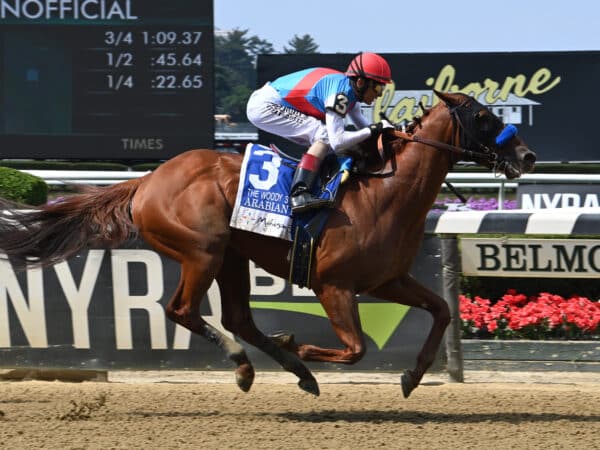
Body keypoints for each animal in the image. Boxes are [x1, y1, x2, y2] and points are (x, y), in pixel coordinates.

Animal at [0, 91, 536, 398]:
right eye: (484, 116)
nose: (528, 156)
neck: (383, 193)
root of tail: (149, 180)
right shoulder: (333, 285)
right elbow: (355, 349)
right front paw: (297, 343)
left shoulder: (388, 279)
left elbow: (442, 311)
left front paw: (413, 375)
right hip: (203, 251)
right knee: (183, 310)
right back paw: (249, 365)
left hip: (233, 257)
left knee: (237, 317)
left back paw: (289, 369)